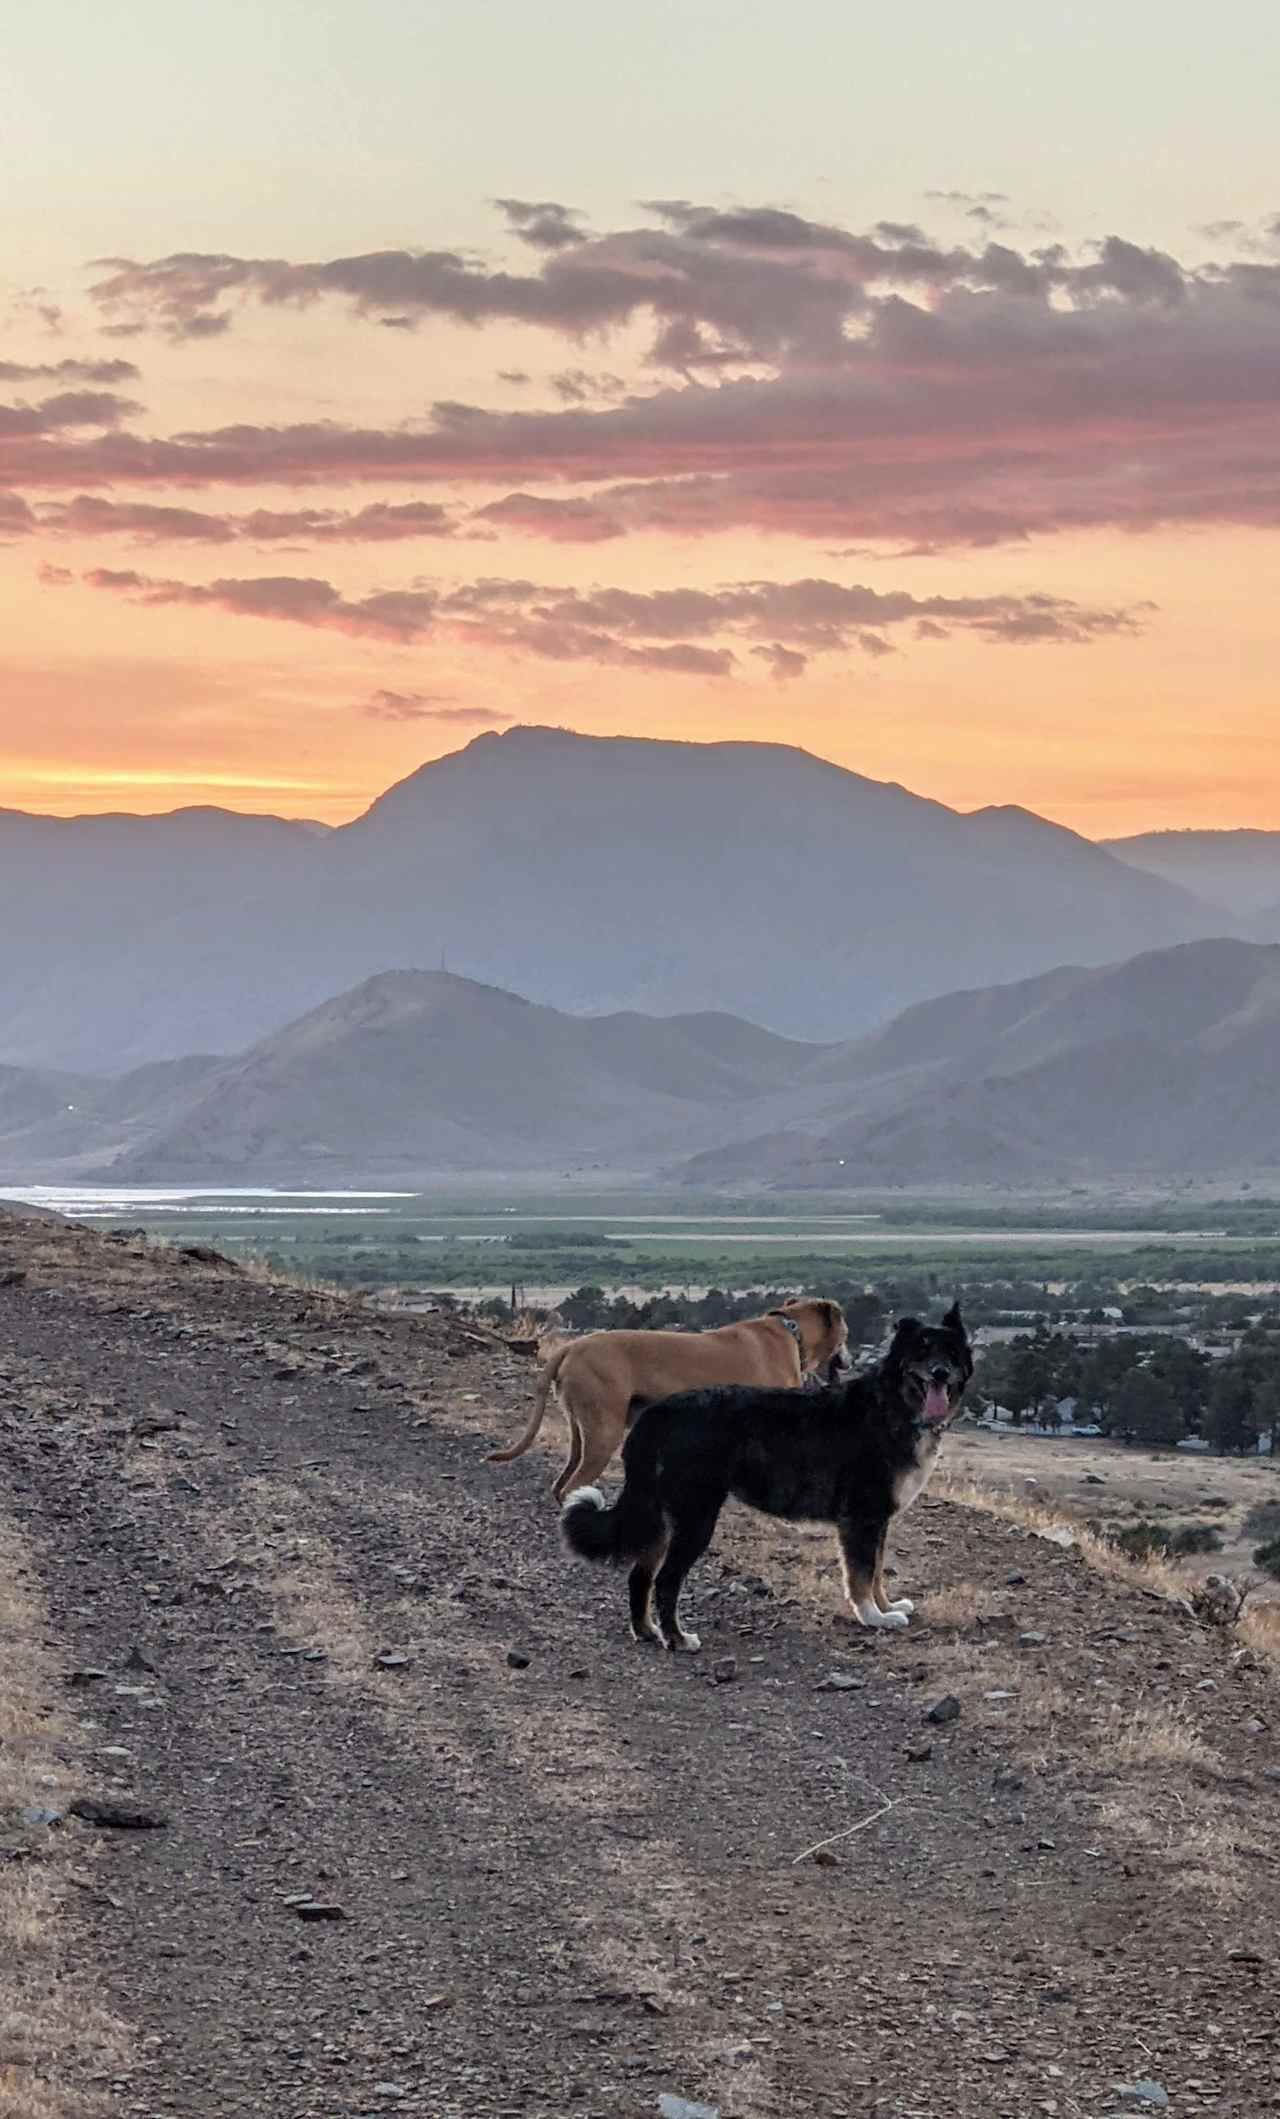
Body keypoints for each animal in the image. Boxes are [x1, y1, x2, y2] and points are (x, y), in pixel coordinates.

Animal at [485, 1296, 843, 1500]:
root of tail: (572, 1346)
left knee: (561, 1485)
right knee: (574, 1486)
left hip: (581, 1430)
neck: (791, 1329)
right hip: (605, 1431)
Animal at [559, 1296, 970, 1644]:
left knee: (640, 1576)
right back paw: (677, 1639)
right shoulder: (862, 1517)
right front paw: (873, 1616)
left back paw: (646, 1631)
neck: (893, 1403)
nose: (939, 1373)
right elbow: (861, 1574)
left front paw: (887, 1606)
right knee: (665, 1580)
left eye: (951, 1352)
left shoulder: (878, 1519)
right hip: (694, 1517)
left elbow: (877, 1570)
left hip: (661, 1517)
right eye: (921, 1351)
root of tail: (657, 1415)